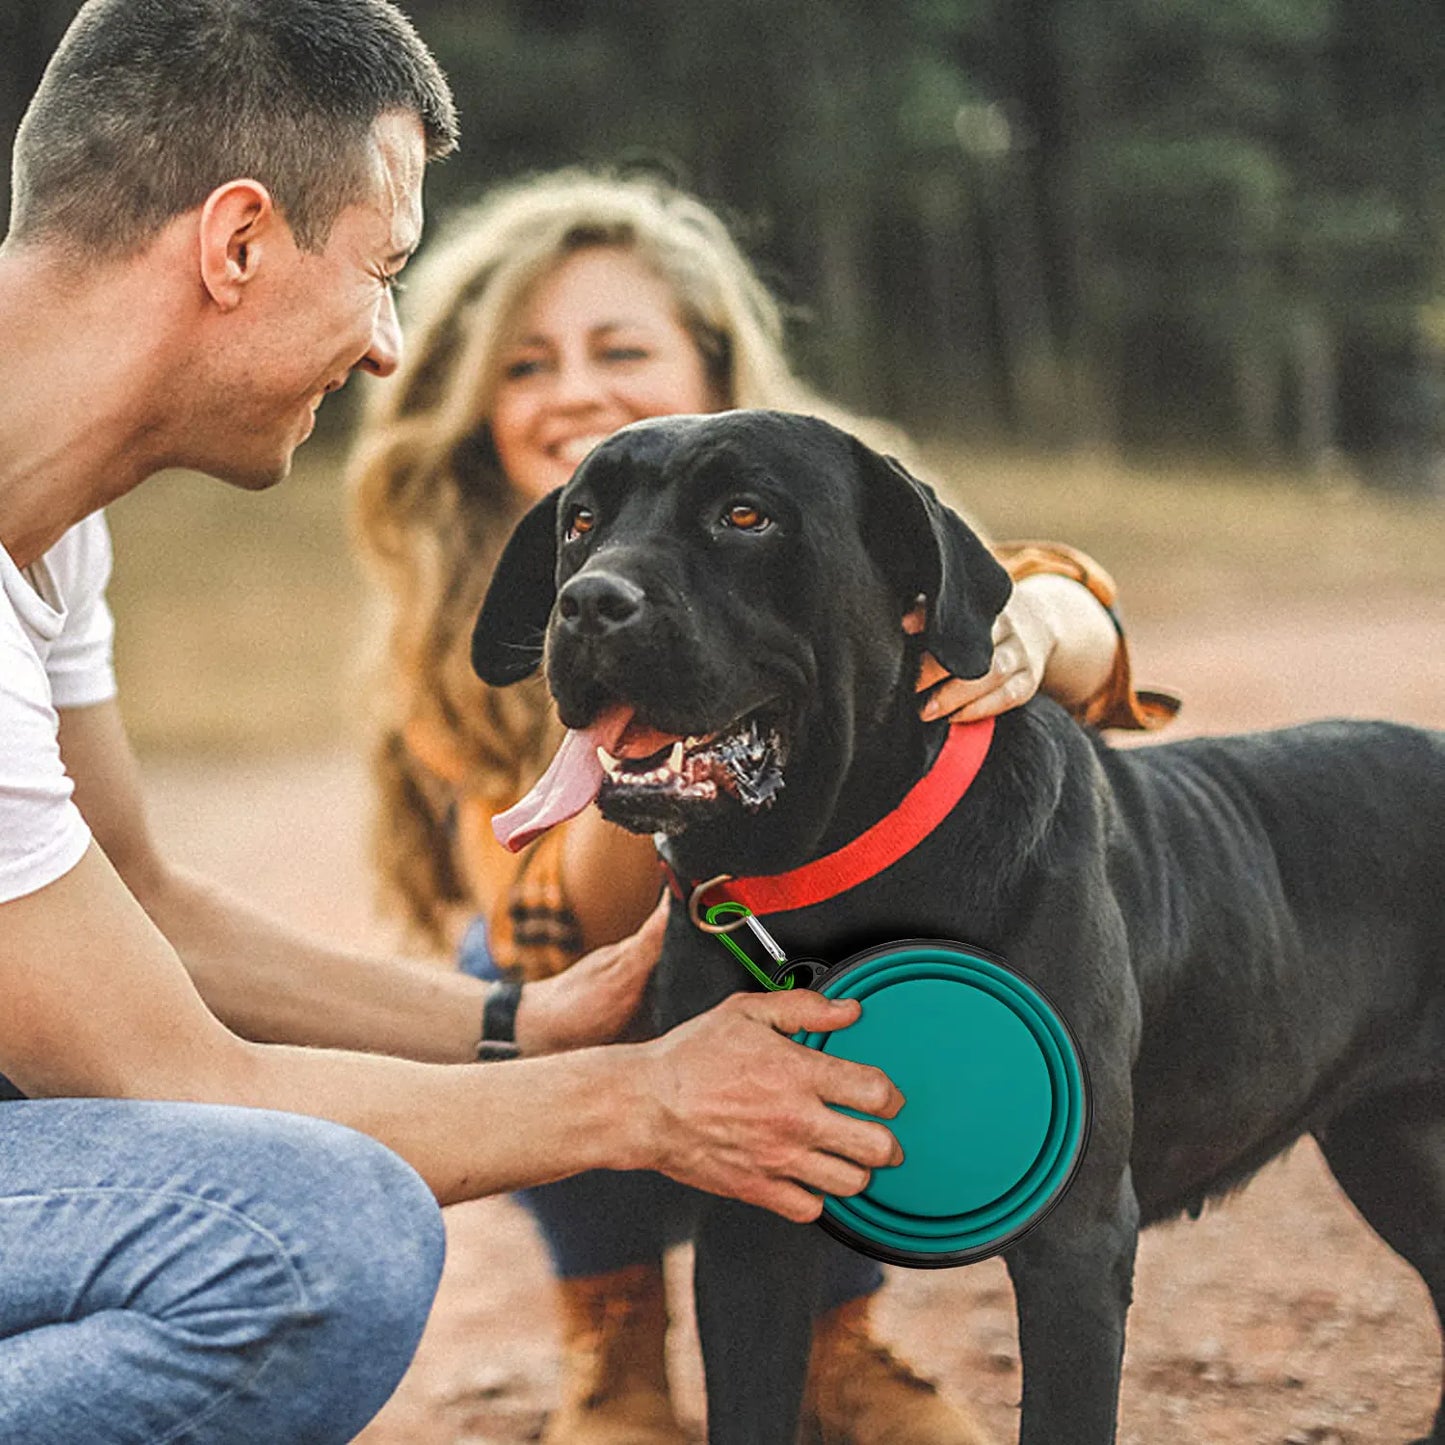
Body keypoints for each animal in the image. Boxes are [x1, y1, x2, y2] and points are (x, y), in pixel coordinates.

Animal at [473, 410, 1445, 1445]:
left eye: (745, 514)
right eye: (580, 520)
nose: (585, 602)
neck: (826, 874)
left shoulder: (1074, 1239)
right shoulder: (748, 1220)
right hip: (1391, 1145)